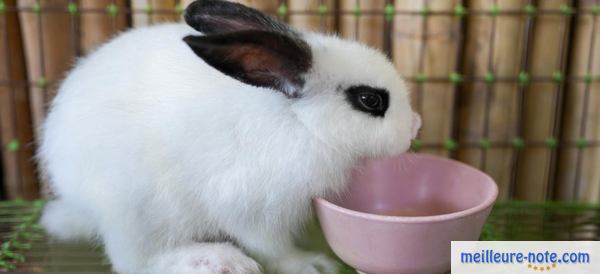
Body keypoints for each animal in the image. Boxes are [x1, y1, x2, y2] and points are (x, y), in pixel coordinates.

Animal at [37, 1, 422, 272]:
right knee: (135, 262)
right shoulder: (253, 207)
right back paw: (217, 261)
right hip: (135, 213)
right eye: (371, 100)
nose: (416, 126)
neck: (300, 123)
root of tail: (76, 203)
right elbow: (271, 248)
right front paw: (312, 264)